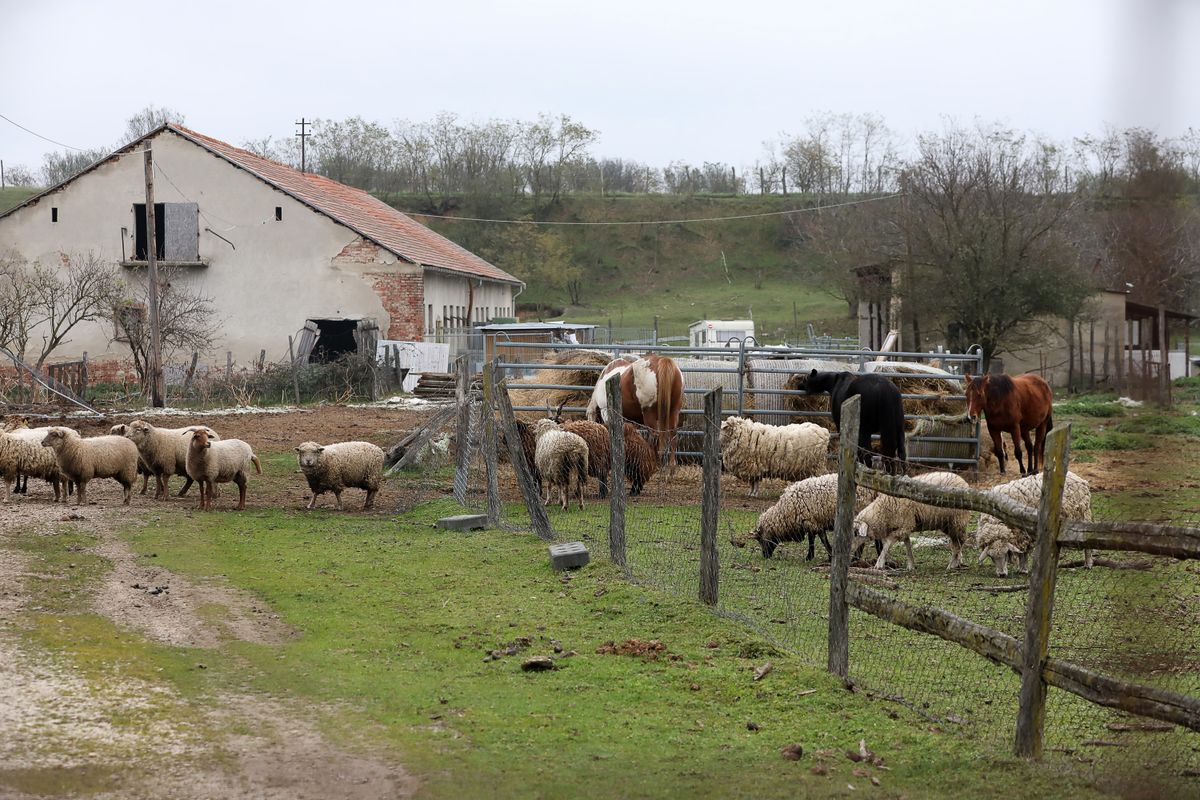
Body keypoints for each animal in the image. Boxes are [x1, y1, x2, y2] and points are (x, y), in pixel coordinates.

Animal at [739, 474, 873, 563]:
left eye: (761, 539)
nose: (765, 555)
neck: (786, 511)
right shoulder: (816, 522)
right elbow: (821, 539)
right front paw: (829, 555)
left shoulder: (810, 522)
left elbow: (813, 540)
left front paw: (810, 557)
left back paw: (856, 558)